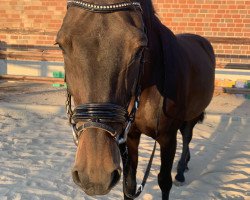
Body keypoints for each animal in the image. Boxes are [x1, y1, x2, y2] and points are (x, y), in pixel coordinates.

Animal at [56, 0, 215, 199]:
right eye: (61, 45)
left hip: (191, 117)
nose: (95, 175)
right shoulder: (129, 136)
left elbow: (164, 181)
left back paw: (180, 171)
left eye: (140, 48)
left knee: (187, 137)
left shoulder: (168, 138)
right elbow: (129, 185)